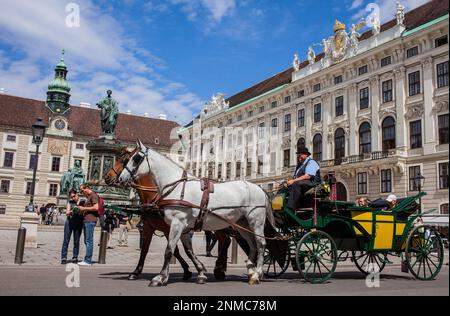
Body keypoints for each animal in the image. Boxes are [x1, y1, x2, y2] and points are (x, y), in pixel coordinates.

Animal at [118, 141, 272, 286]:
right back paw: (250, 270)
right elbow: (187, 250)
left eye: (136, 159)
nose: (120, 178)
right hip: (242, 224)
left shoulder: (176, 223)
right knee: (252, 245)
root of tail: (260, 189)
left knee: (261, 244)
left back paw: (257, 273)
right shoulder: (183, 227)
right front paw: (199, 273)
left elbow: (169, 250)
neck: (177, 187)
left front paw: (160, 277)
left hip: (256, 222)